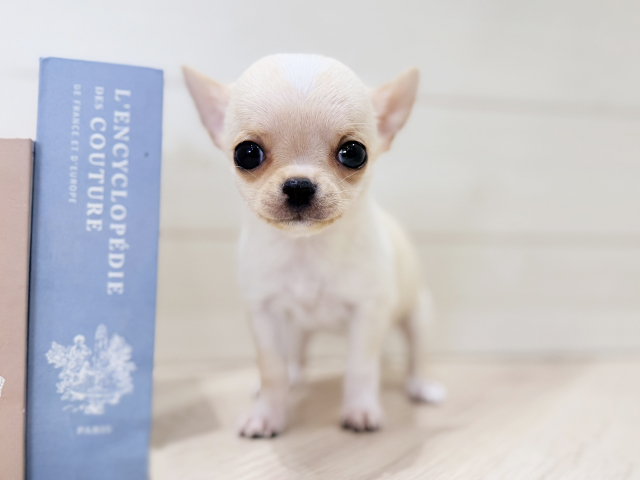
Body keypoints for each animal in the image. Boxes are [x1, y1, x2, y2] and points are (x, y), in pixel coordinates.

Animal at [183, 54, 445, 438]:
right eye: (246, 154)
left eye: (354, 153)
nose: (298, 185)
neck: (306, 248)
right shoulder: (264, 313)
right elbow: (272, 368)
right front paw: (267, 414)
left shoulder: (368, 314)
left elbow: (361, 367)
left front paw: (360, 410)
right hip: (298, 327)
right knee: (295, 355)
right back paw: (293, 375)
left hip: (418, 315)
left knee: (418, 355)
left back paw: (423, 385)